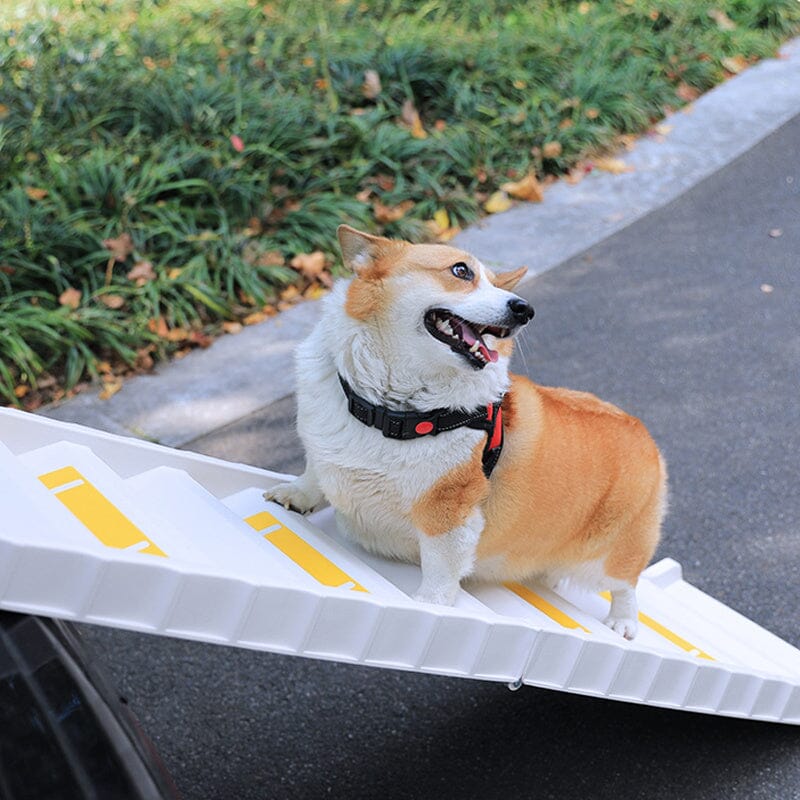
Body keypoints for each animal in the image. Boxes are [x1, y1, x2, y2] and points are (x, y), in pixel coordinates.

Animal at [266, 225, 664, 636]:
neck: (388, 412)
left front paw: (429, 605)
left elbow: (441, 569)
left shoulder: (449, 513)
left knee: (626, 583)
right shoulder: (324, 450)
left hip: (611, 553)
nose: (524, 309)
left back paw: (623, 622)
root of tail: (642, 431)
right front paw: (294, 495)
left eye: (496, 283)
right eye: (461, 271)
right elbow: (314, 472)